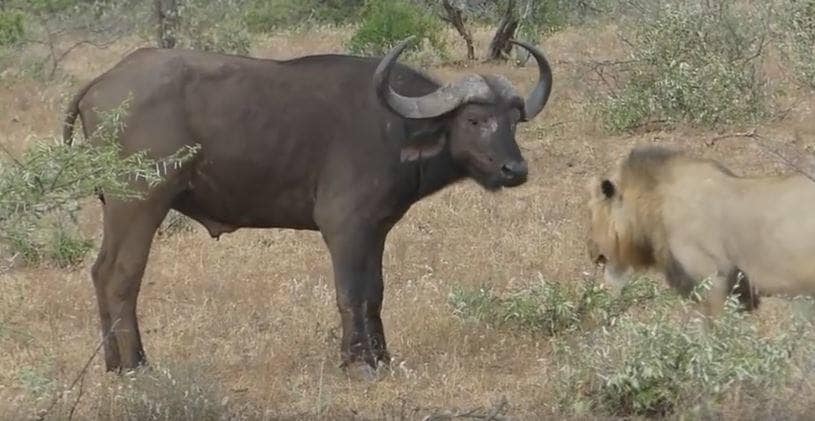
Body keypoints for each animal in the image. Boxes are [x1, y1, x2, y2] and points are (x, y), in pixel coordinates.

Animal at [60, 36, 552, 370]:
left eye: (513, 120)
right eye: (474, 120)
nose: (515, 169)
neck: (394, 126)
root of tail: (101, 83)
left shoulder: (375, 229)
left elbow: (375, 291)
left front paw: (382, 356)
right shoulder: (343, 227)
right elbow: (351, 292)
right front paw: (357, 362)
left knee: (100, 271)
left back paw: (111, 364)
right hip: (139, 202)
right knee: (120, 275)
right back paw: (136, 365)